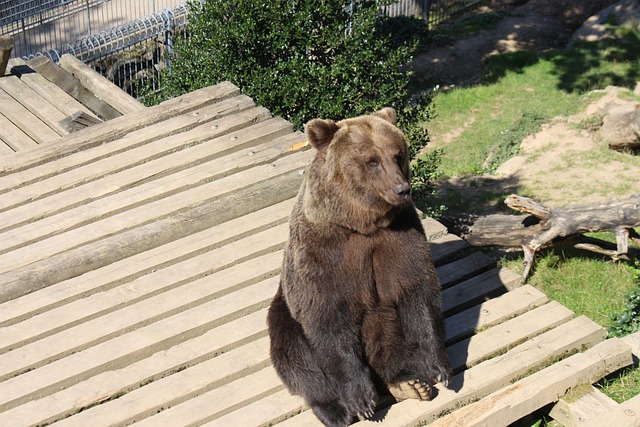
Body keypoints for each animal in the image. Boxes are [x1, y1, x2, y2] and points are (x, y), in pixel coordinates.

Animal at [267, 108, 452, 427]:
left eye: (398, 154)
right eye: (372, 161)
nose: (402, 189)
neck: (362, 224)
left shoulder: (399, 238)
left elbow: (417, 292)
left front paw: (438, 367)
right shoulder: (322, 255)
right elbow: (328, 322)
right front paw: (361, 401)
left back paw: (408, 383)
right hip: (283, 313)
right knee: (295, 356)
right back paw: (334, 411)